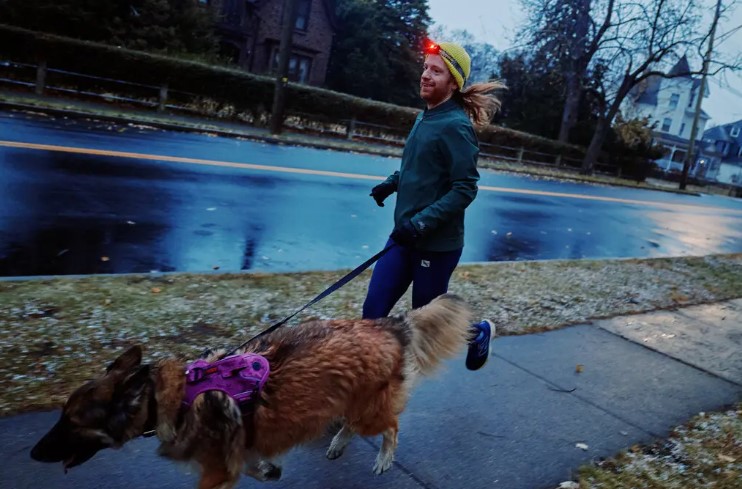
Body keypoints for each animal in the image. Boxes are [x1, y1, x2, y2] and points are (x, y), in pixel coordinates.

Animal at [32, 292, 474, 486]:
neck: (172, 400)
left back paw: (383, 458)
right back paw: (337, 444)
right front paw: (266, 469)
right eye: (60, 416)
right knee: (353, 424)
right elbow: (251, 461)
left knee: (391, 427)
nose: (34, 454)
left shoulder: (214, 474)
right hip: (350, 402)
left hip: (369, 409)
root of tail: (388, 323)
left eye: (72, 423)